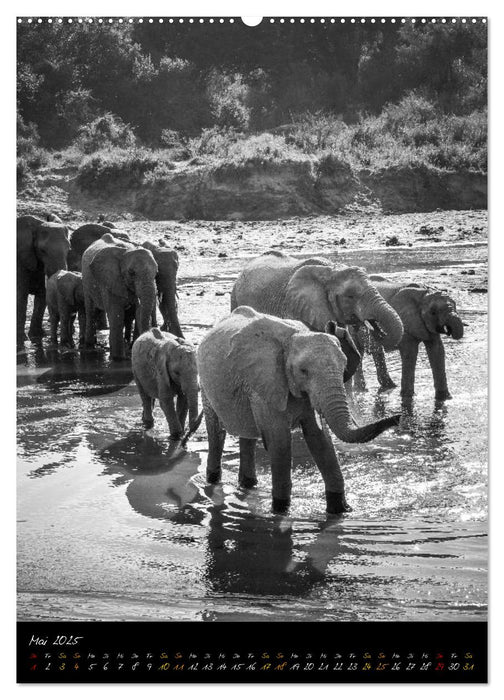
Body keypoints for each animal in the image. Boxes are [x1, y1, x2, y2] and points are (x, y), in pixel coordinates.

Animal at [16, 213, 70, 344]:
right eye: (42, 250)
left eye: (69, 249)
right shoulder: (20, 258)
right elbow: (21, 295)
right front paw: (21, 339)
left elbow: (42, 293)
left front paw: (37, 336)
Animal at [197, 306, 402, 516]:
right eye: (303, 371)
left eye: (343, 367)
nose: (398, 417)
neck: (293, 338)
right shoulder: (266, 384)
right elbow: (280, 443)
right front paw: (280, 511)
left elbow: (320, 440)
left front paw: (341, 511)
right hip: (205, 385)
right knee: (216, 433)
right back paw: (213, 480)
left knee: (248, 435)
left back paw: (248, 485)